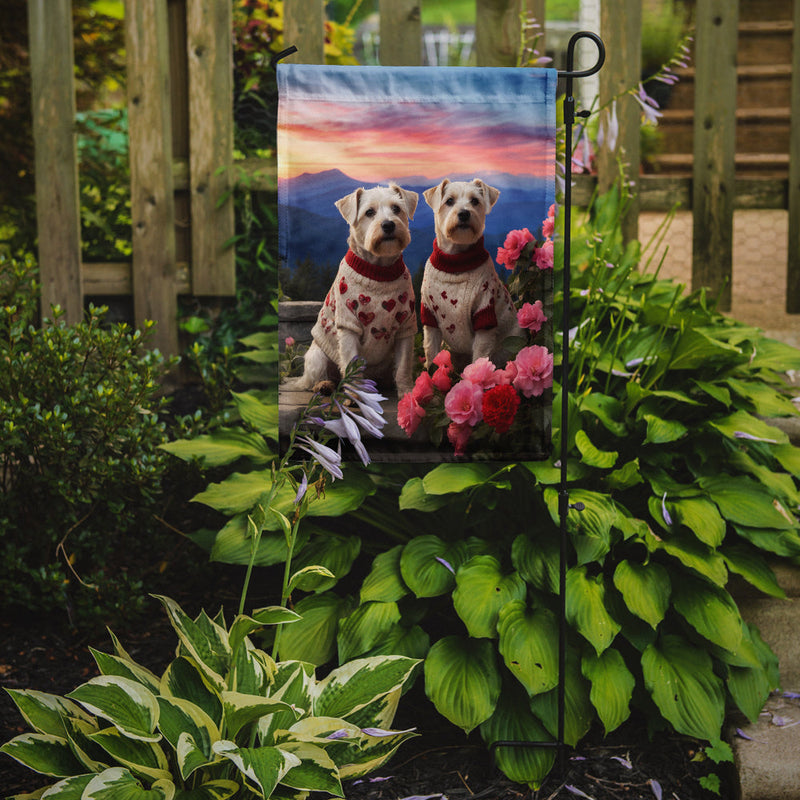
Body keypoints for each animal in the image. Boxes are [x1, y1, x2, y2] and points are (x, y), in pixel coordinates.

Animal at [292, 182, 418, 394]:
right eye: (369, 212)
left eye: (396, 208)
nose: (388, 225)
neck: (379, 270)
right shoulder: (348, 324)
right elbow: (351, 362)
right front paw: (356, 394)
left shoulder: (405, 325)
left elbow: (403, 365)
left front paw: (408, 393)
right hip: (317, 355)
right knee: (318, 376)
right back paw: (323, 385)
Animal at [422, 177, 520, 368]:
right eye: (449, 201)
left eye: (475, 201)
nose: (464, 214)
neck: (455, 262)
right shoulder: (430, 316)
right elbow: (431, 352)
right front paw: (430, 372)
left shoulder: (484, 312)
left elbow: (480, 356)